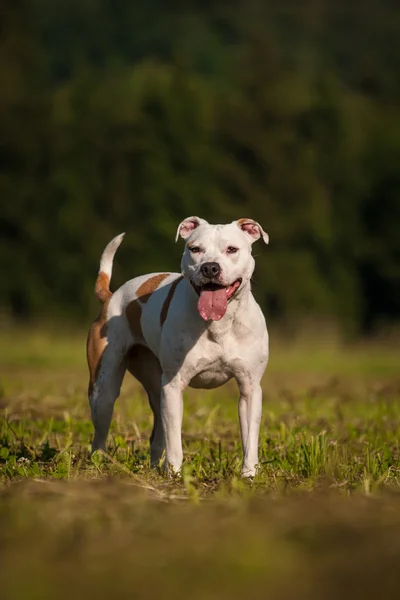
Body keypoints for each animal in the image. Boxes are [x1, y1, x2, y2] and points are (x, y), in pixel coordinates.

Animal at [86, 218, 268, 476]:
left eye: (232, 249)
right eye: (195, 249)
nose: (210, 268)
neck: (219, 323)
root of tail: (111, 296)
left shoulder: (250, 388)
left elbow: (250, 438)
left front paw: (249, 475)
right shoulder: (173, 386)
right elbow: (175, 440)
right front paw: (174, 474)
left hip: (154, 386)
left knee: (157, 434)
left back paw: (154, 467)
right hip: (104, 390)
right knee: (101, 433)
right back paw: (100, 465)